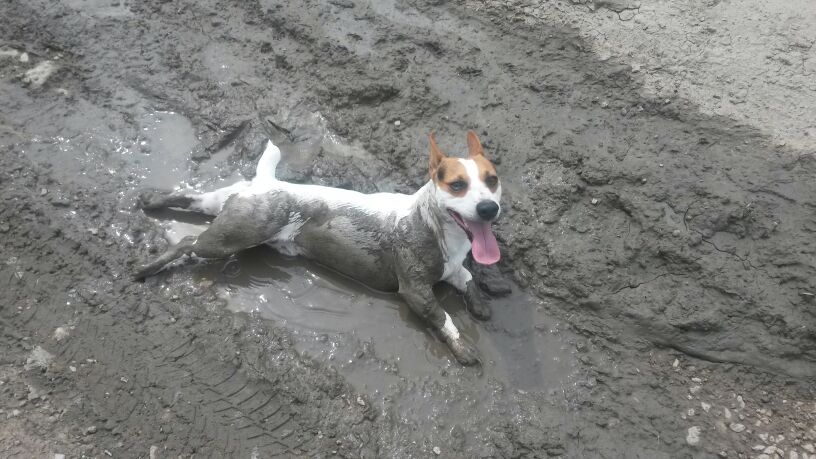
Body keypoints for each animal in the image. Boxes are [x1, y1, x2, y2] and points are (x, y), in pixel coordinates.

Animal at [137, 130, 500, 366]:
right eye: (457, 185)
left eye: (492, 179)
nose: (488, 208)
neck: (433, 223)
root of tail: (268, 182)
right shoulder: (415, 290)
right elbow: (442, 316)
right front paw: (461, 346)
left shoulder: (452, 269)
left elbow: (468, 279)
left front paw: (480, 304)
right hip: (235, 235)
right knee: (188, 242)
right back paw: (147, 268)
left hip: (228, 210)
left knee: (190, 197)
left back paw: (153, 200)